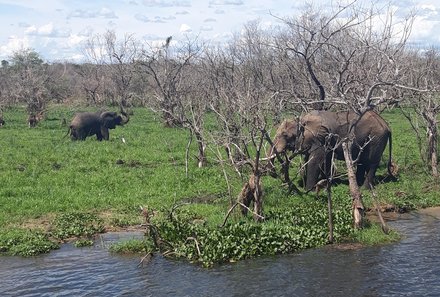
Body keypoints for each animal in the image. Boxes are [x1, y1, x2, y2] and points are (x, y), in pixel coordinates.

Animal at [266, 108, 394, 190]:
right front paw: (324, 184)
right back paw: (358, 184)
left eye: (285, 135)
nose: (274, 174)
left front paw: (309, 190)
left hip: (376, 138)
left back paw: (364, 189)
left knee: (371, 162)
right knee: (362, 162)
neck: (302, 119)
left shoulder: (319, 137)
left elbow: (314, 161)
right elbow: (320, 159)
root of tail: (387, 126)